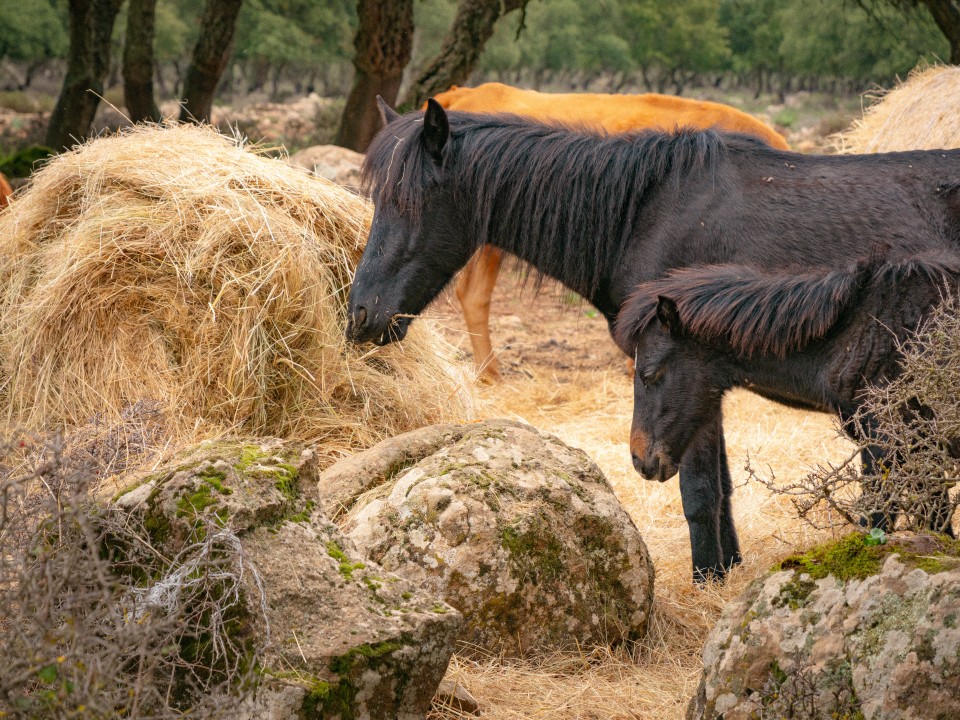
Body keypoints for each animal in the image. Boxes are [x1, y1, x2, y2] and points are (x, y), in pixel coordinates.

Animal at [616, 253, 960, 536]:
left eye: (649, 374)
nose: (640, 460)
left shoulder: (887, 447)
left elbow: (876, 525)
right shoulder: (920, 451)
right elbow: (938, 526)